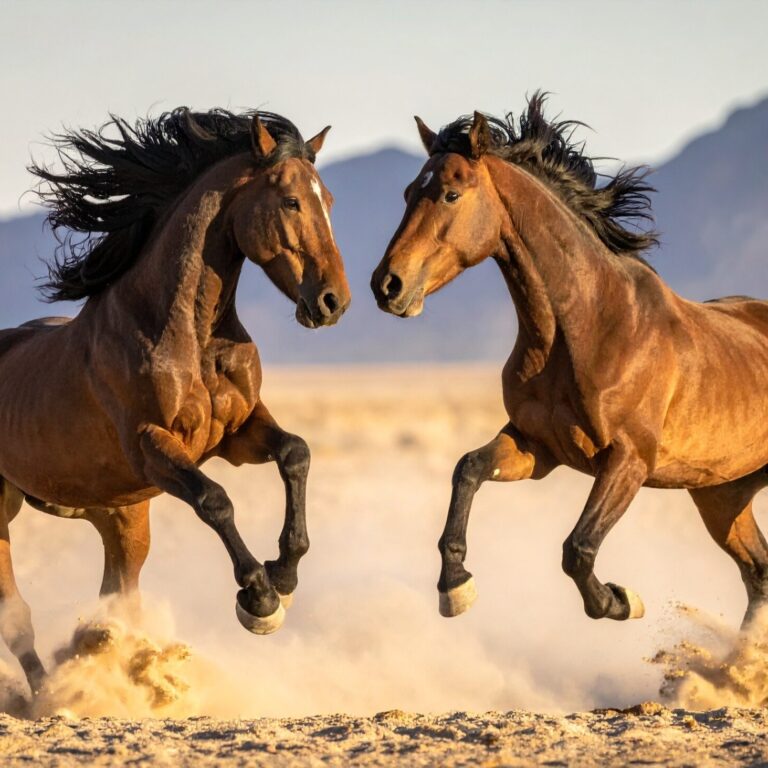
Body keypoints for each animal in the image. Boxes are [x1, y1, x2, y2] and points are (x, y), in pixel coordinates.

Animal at [0, 108, 350, 694]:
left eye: (329, 198)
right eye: (291, 201)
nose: (333, 302)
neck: (185, 332)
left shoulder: (236, 432)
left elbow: (295, 452)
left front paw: (285, 571)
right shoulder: (153, 448)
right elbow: (215, 500)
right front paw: (259, 598)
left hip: (121, 516)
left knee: (118, 596)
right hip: (6, 508)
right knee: (17, 617)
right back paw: (48, 693)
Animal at [371, 92, 768, 628]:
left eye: (450, 194)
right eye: (410, 191)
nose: (387, 285)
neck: (588, 328)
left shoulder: (628, 462)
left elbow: (577, 549)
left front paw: (622, 600)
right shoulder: (538, 447)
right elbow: (467, 470)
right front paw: (455, 586)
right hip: (723, 494)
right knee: (757, 573)